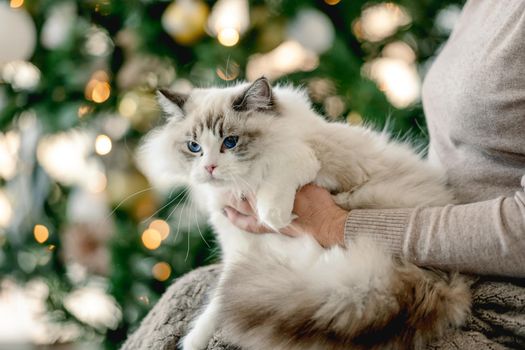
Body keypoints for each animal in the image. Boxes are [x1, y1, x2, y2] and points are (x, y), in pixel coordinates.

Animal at [137, 77, 468, 350]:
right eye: (194, 147)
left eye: (230, 142)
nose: (209, 168)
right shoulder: (239, 250)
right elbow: (217, 301)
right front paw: (193, 341)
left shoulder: (325, 164)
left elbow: (288, 162)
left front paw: (273, 214)